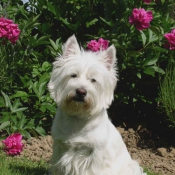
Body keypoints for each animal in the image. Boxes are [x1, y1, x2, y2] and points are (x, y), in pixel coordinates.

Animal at [47, 34, 146, 174]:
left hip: (130, 167)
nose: (81, 91)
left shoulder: (96, 153)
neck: (77, 119)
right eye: (73, 75)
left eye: (93, 80)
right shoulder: (59, 147)